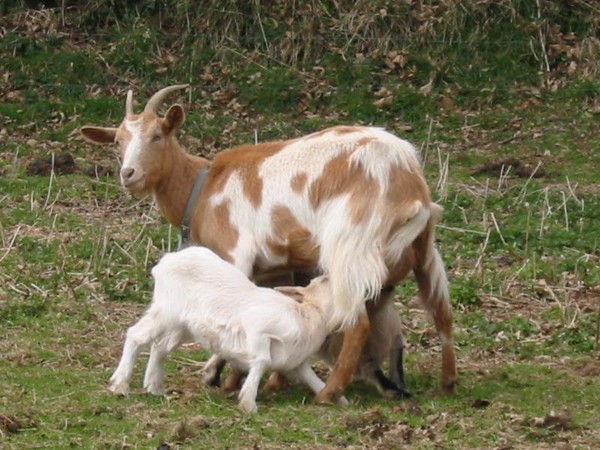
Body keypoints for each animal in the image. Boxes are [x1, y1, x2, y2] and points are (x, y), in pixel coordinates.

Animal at [78, 86, 454, 402]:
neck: (203, 187)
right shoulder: (278, 268)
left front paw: (217, 374)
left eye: (157, 136)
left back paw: (329, 393)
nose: (129, 174)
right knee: (441, 312)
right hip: (424, 250)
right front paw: (264, 379)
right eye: (117, 142)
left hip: (350, 247)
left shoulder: (235, 253)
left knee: (357, 322)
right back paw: (446, 384)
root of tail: (408, 182)